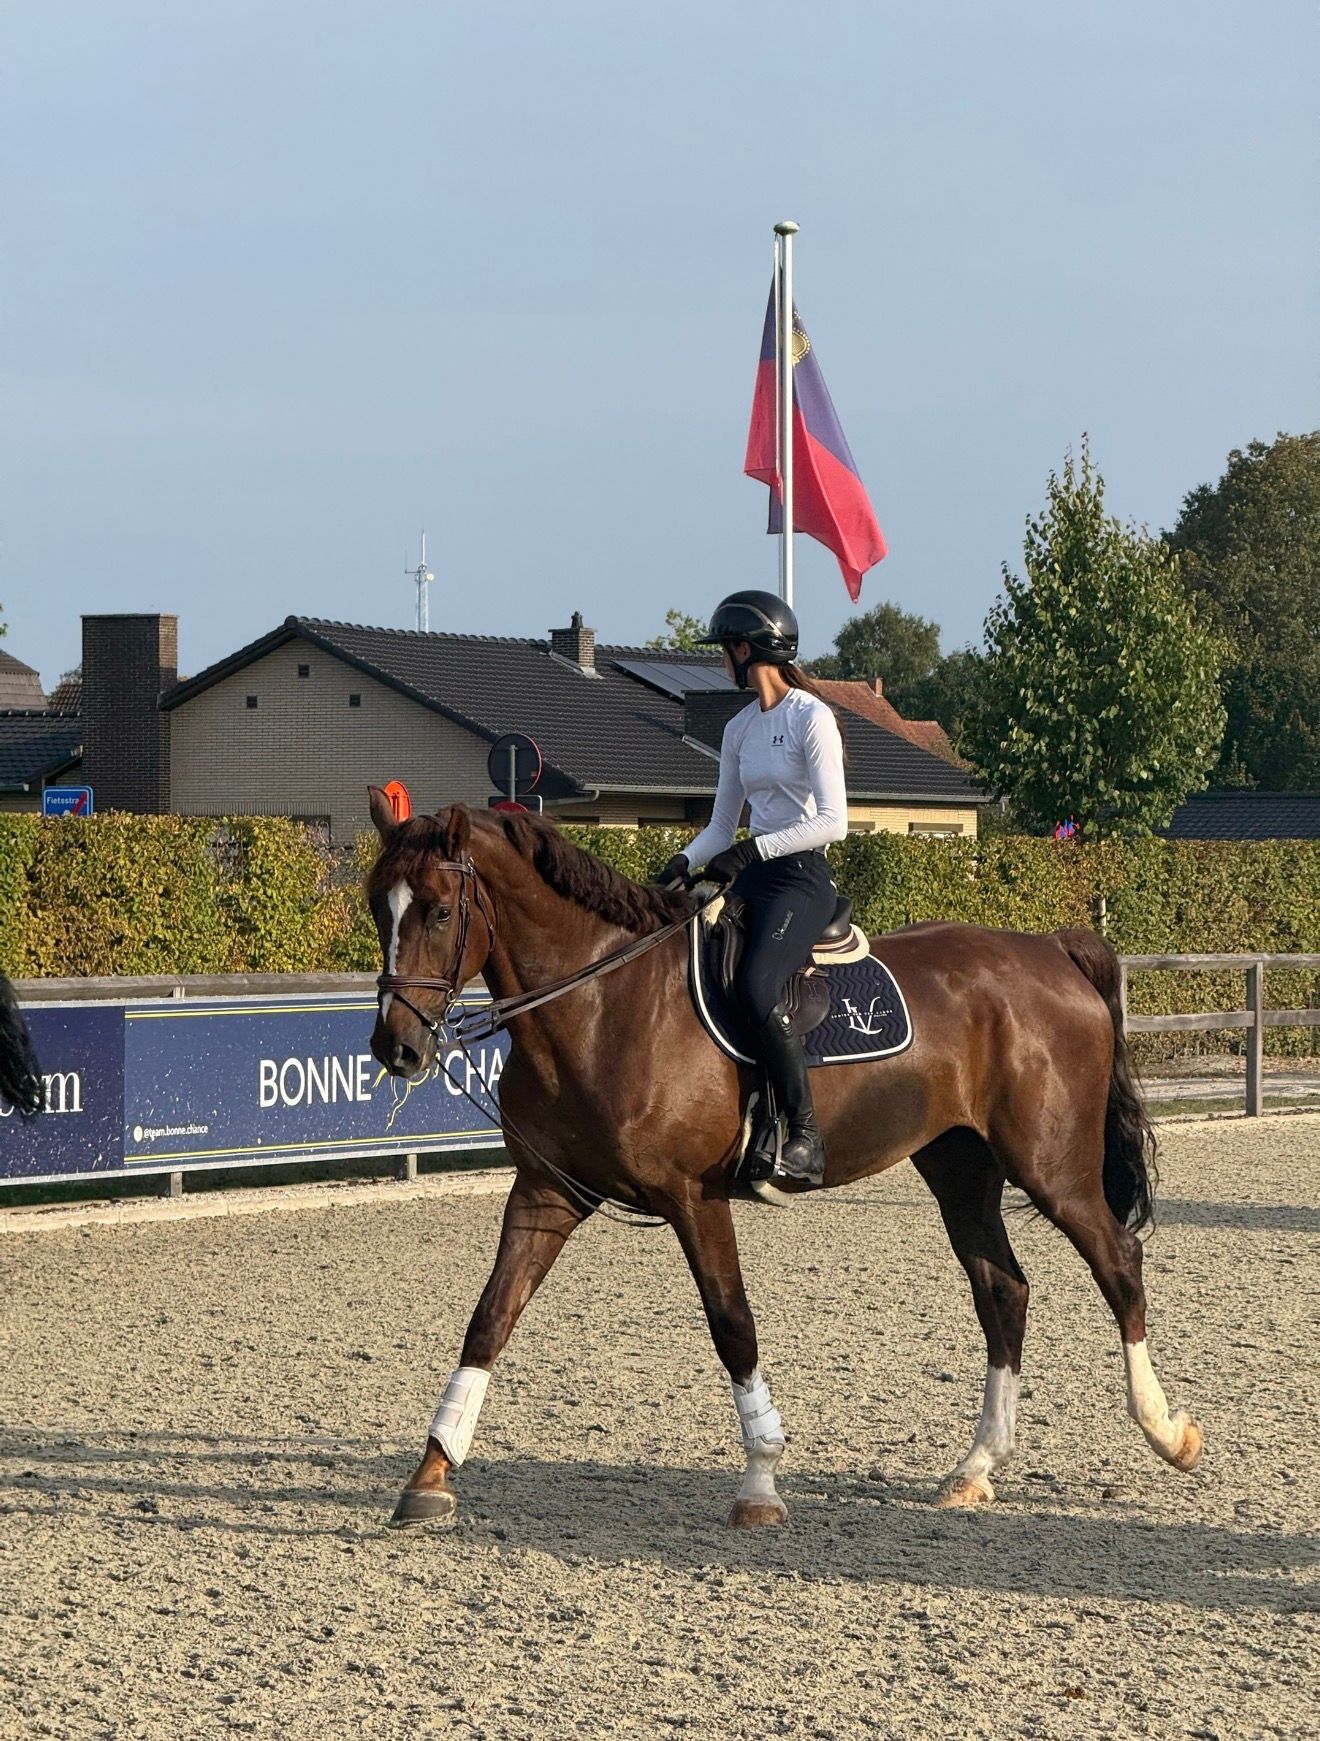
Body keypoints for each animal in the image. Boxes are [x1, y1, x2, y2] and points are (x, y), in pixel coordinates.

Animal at [365, 794, 1202, 1530]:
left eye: (439, 910)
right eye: (379, 907)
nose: (396, 1047)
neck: (603, 1003)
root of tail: (1049, 949)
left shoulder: (694, 1198)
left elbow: (733, 1326)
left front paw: (761, 1482)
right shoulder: (546, 1192)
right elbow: (489, 1319)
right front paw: (430, 1475)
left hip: (1052, 1167)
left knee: (1118, 1264)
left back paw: (1168, 1431)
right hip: (960, 1168)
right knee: (1003, 1289)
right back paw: (976, 1466)